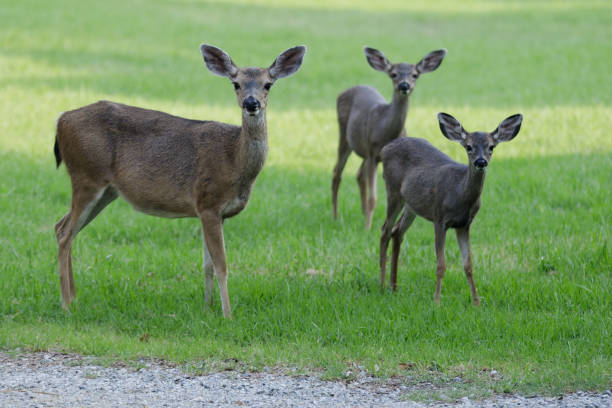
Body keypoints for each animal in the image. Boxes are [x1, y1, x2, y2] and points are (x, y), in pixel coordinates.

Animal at [53, 43, 306, 318]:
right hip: (86, 176)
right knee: (65, 233)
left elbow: (207, 264)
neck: (234, 160)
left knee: (62, 227)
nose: (251, 103)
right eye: (236, 84)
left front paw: (208, 309)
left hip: (106, 190)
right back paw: (66, 305)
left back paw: (75, 298)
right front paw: (228, 315)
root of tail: (60, 119)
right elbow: (222, 265)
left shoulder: (217, 213)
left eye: (268, 84)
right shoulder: (208, 201)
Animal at [332, 47, 448, 230]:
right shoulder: (373, 154)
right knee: (337, 172)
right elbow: (373, 198)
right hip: (345, 135)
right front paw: (367, 229)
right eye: (393, 74)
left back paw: (363, 214)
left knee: (359, 175)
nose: (404, 85)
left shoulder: (375, 154)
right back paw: (336, 216)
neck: (386, 131)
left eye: (415, 74)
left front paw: (370, 223)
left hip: (364, 151)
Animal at [380, 111, 524, 306]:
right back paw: (381, 285)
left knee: (397, 232)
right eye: (469, 147)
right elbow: (441, 265)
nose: (481, 162)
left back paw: (394, 287)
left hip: (411, 205)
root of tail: (385, 148)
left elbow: (468, 265)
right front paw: (437, 301)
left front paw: (477, 302)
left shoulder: (464, 225)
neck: (460, 195)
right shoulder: (439, 218)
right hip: (393, 191)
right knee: (385, 230)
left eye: (491, 147)